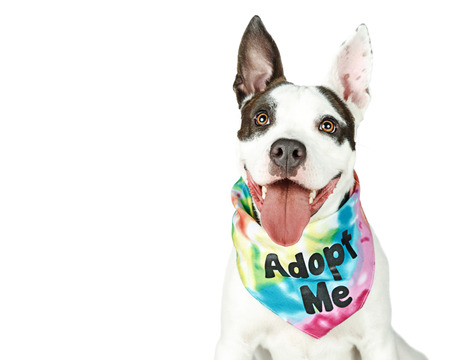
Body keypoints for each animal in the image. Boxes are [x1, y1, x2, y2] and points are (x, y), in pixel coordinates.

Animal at [216, 15, 428, 358]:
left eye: (328, 125)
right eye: (262, 118)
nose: (287, 149)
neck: (299, 252)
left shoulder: (378, 342)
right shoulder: (234, 343)